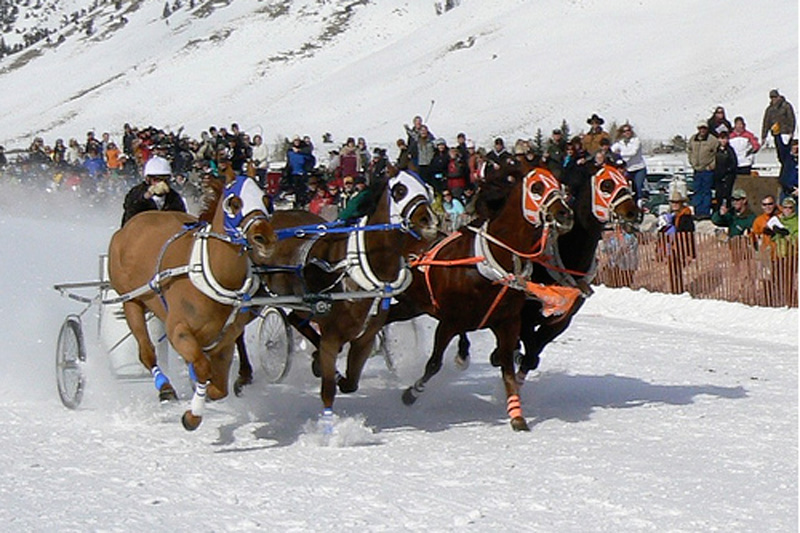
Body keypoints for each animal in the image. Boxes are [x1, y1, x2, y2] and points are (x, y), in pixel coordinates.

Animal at [108, 175, 278, 428]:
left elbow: (219, 387)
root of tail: (131, 225)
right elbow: (201, 367)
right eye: (233, 203)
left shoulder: (224, 341)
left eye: (267, 200)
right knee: (146, 352)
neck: (212, 275)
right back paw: (165, 387)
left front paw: (205, 393)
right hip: (131, 300)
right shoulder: (179, 330)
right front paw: (193, 415)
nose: (264, 238)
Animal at [256, 170, 438, 424]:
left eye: (427, 188)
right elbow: (329, 389)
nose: (430, 222)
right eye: (400, 190)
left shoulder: (364, 338)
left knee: (294, 319)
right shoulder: (332, 336)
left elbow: (351, 383)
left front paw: (326, 368)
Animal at [388, 164, 576, 430]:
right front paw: (411, 393)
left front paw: (517, 416)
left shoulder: (508, 322)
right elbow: (434, 364)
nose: (564, 214)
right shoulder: (449, 322)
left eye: (559, 185)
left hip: (412, 306)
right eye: (537, 187)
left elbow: (508, 368)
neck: (488, 263)